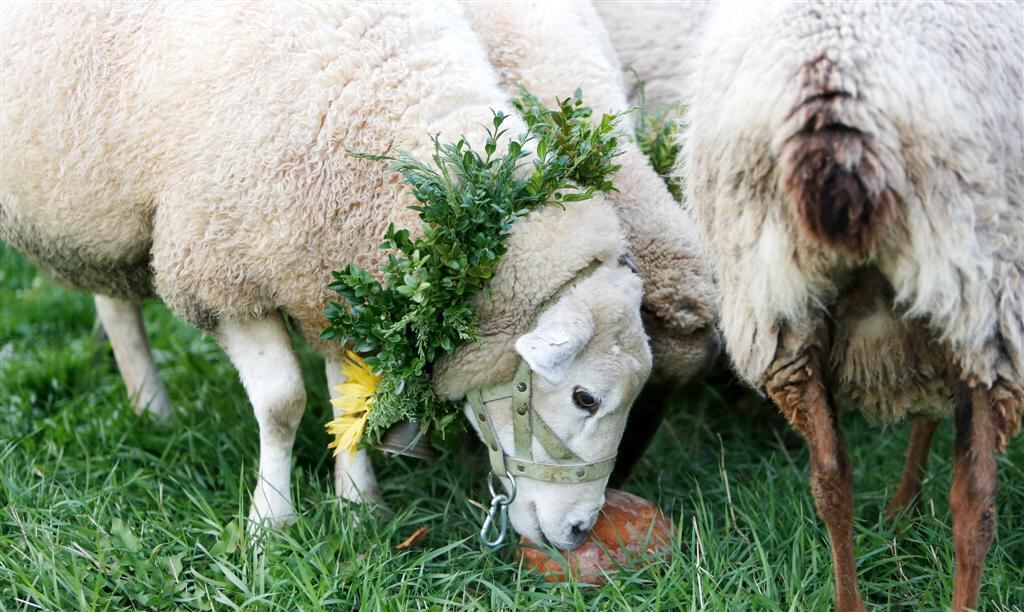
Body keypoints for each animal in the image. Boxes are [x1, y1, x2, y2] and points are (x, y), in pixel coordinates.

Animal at [2, 0, 655, 552]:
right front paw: (270, 522)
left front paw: (360, 507)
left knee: (112, 302)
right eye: (585, 397)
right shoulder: (224, 274)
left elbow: (350, 405)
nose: (579, 531)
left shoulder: (334, 285)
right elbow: (283, 405)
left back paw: (149, 409)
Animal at [684, 2, 1019, 609]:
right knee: (977, 498)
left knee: (833, 477)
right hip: (982, 292)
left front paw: (899, 512)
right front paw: (904, 507)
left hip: (779, 312)